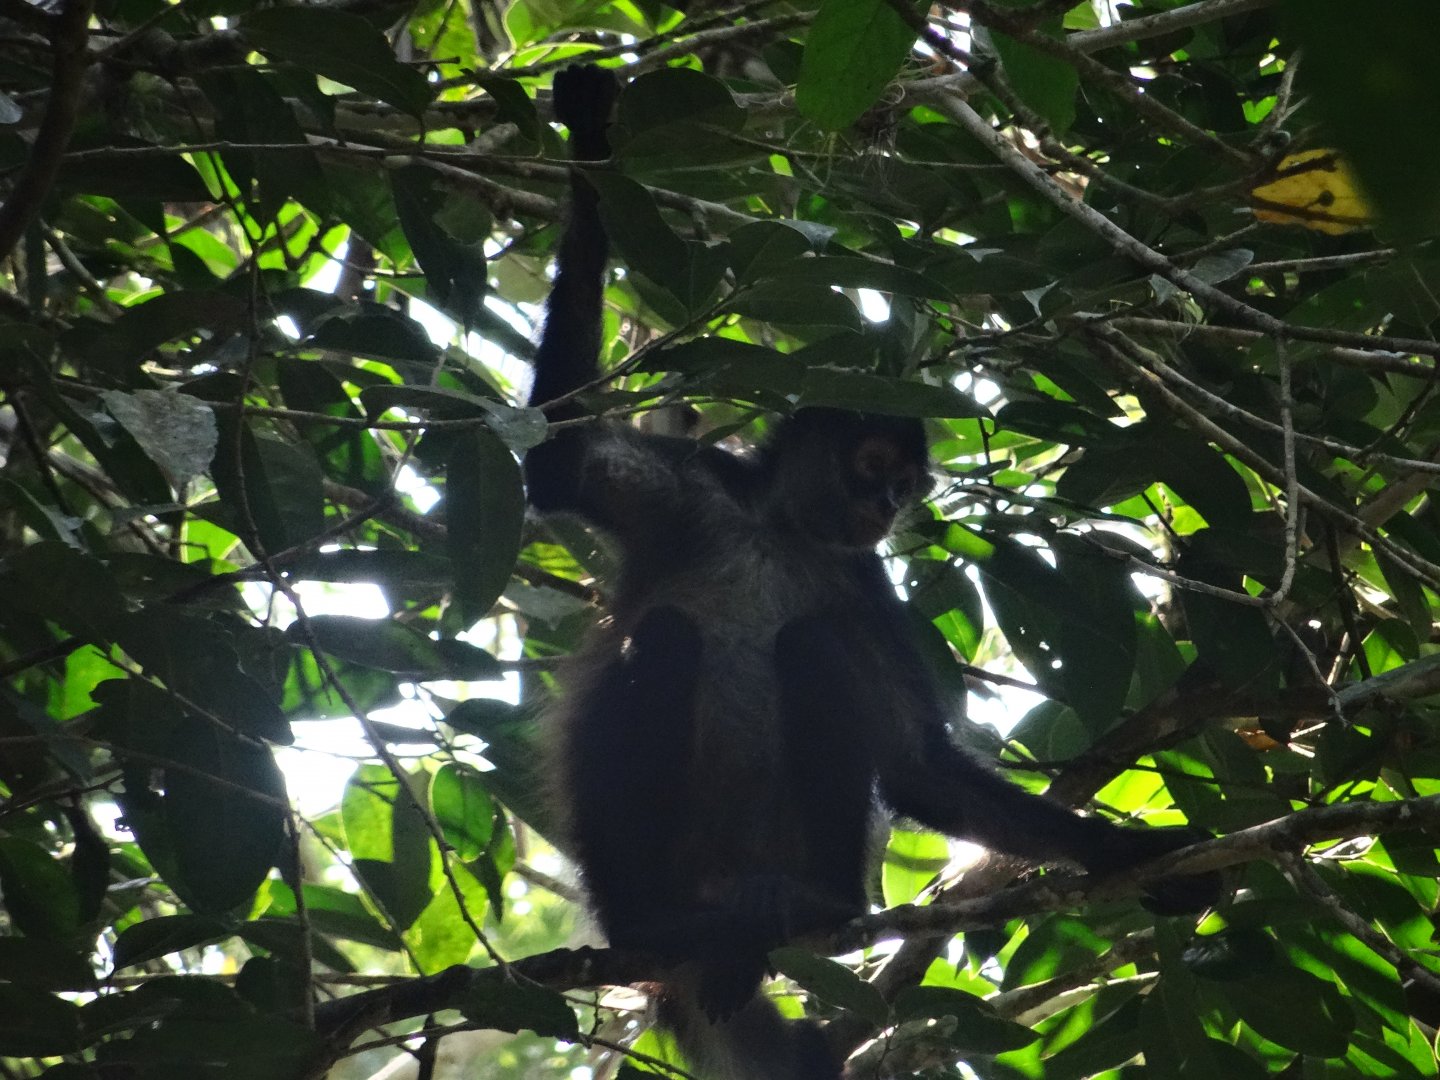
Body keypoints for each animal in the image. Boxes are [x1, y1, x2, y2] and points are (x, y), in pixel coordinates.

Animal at [524, 65, 1219, 1080]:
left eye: (907, 483)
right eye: (872, 463)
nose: (890, 506)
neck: (781, 534)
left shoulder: (862, 583)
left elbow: (921, 767)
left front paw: (1129, 862)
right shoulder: (697, 491)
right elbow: (556, 463)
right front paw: (592, 136)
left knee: (814, 647)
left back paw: (807, 907)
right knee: (667, 638)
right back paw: (655, 921)